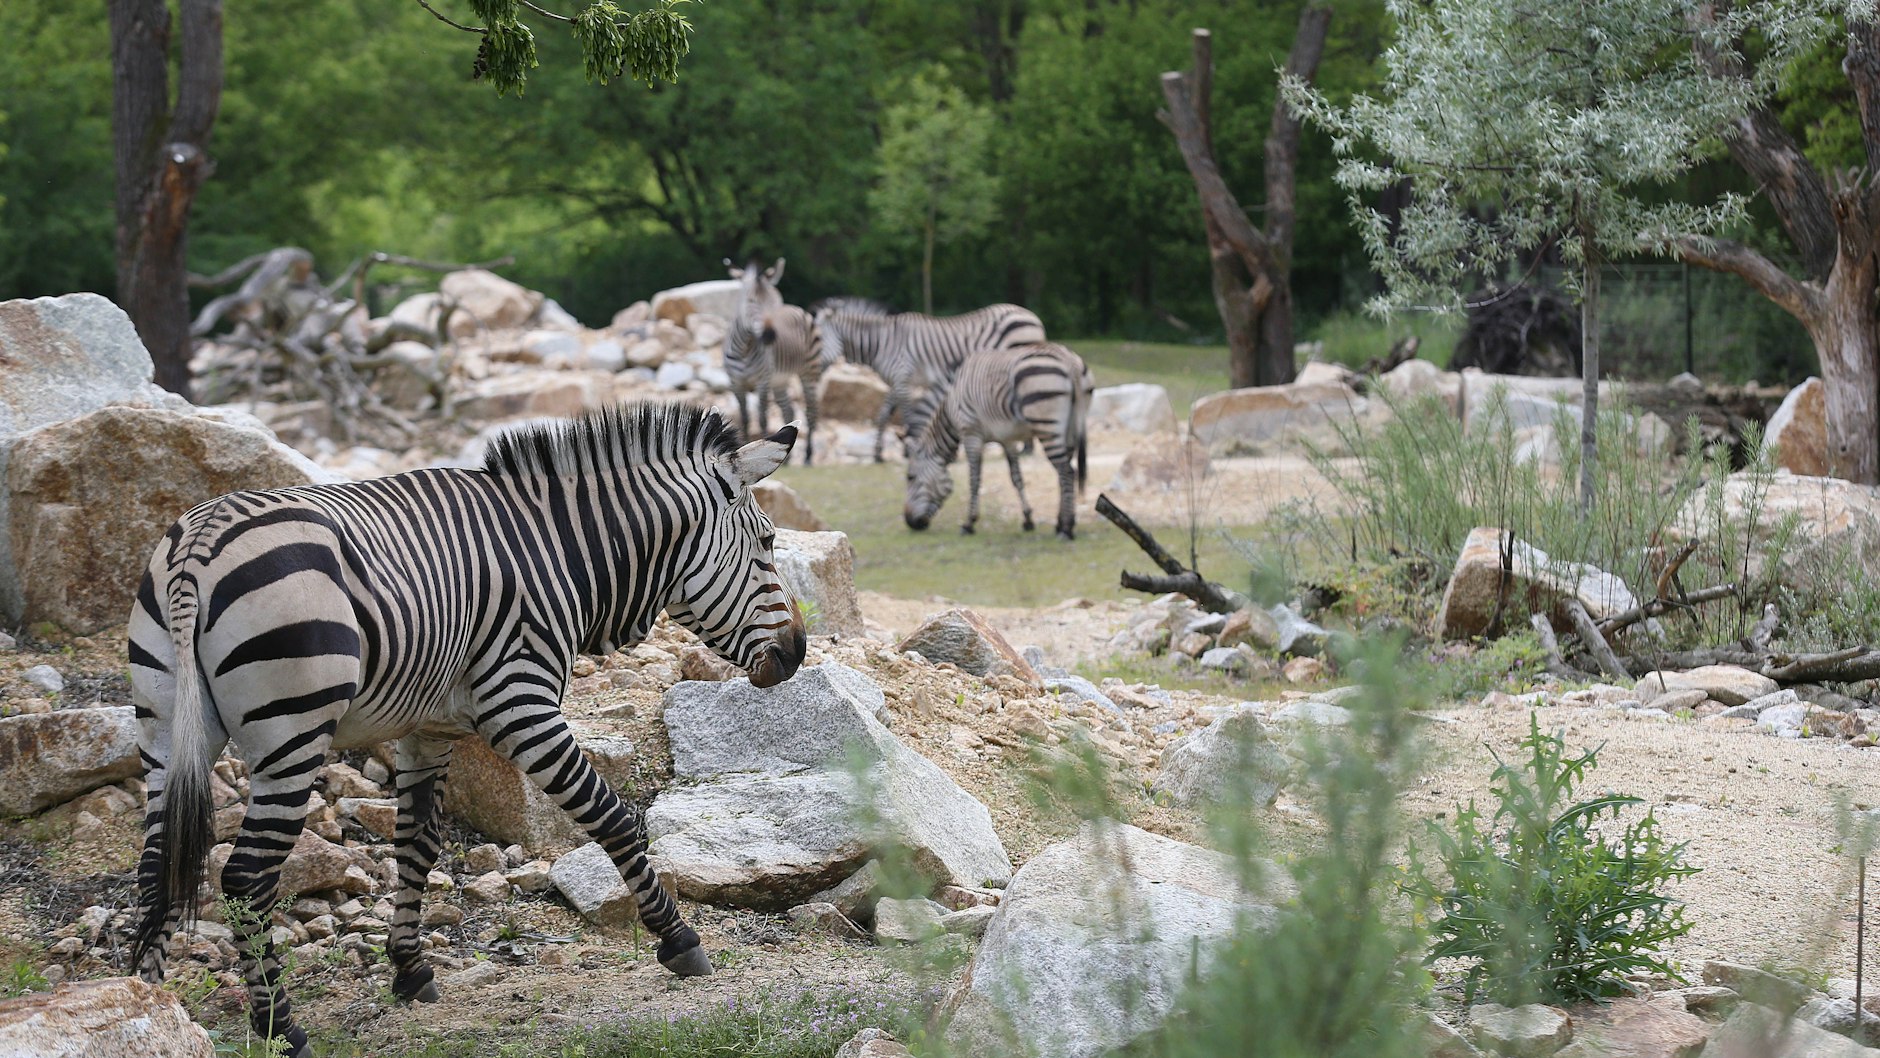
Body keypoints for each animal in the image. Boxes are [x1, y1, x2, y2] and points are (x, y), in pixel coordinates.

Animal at [126, 403, 806, 1057]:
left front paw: (410, 969)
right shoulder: (520, 704)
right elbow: (611, 817)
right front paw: (678, 939)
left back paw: (150, 1007)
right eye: (767, 543)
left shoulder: (427, 729)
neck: (557, 549)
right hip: (290, 733)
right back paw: (279, 1028)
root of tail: (198, 547)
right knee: (245, 877)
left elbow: (416, 845)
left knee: (157, 866)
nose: (798, 654)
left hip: (165, 734)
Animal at [723, 257, 831, 464]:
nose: (770, 336)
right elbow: (745, 418)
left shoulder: (763, 382)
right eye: (751, 301)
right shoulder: (735, 384)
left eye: (774, 303)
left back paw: (808, 456)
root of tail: (794, 307)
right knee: (789, 411)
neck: (744, 348)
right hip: (780, 380)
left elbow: (762, 417)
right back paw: (788, 459)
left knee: (810, 412)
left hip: (809, 372)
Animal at [813, 300, 1046, 462]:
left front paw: (908, 449)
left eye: (817, 340)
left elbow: (906, 415)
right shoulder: (896, 382)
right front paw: (878, 454)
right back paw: (1027, 448)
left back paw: (1027, 449)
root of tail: (1031, 315)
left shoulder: (903, 378)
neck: (882, 343)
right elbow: (883, 415)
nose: (812, 369)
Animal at [903, 342, 1092, 540]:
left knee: (1067, 472)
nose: (910, 523)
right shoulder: (1007, 439)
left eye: (910, 477)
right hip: (1069, 428)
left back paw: (1066, 529)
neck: (950, 403)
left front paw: (969, 524)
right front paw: (1027, 520)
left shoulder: (971, 434)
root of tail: (1069, 360)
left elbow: (975, 479)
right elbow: (1017, 478)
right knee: (1064, 474)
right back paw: (1060, 523)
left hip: (1046, 425)